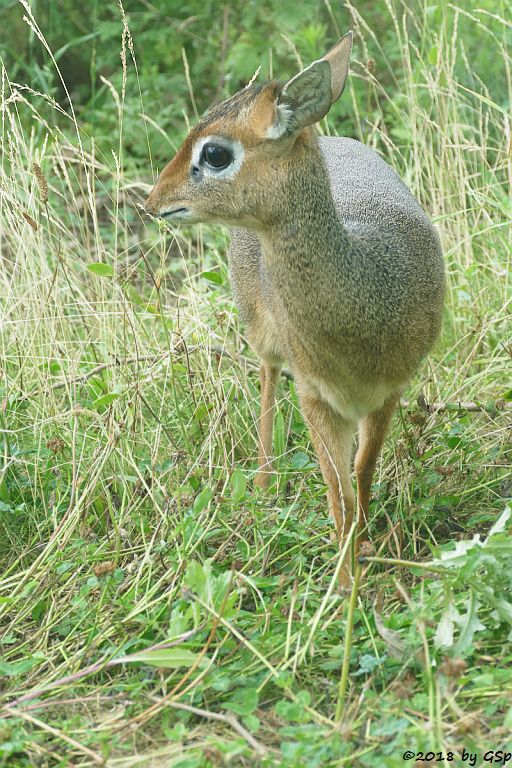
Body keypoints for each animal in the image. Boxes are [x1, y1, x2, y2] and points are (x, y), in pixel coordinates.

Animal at [144, 31, 444, 584]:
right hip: (260, 330)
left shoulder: (390, 390)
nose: (153, 200)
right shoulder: (314, 396)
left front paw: (363, 546)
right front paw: (345, 580)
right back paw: (263, 489)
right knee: (265, 377)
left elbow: (361, 472)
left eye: (214, 152)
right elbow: (337, 486)